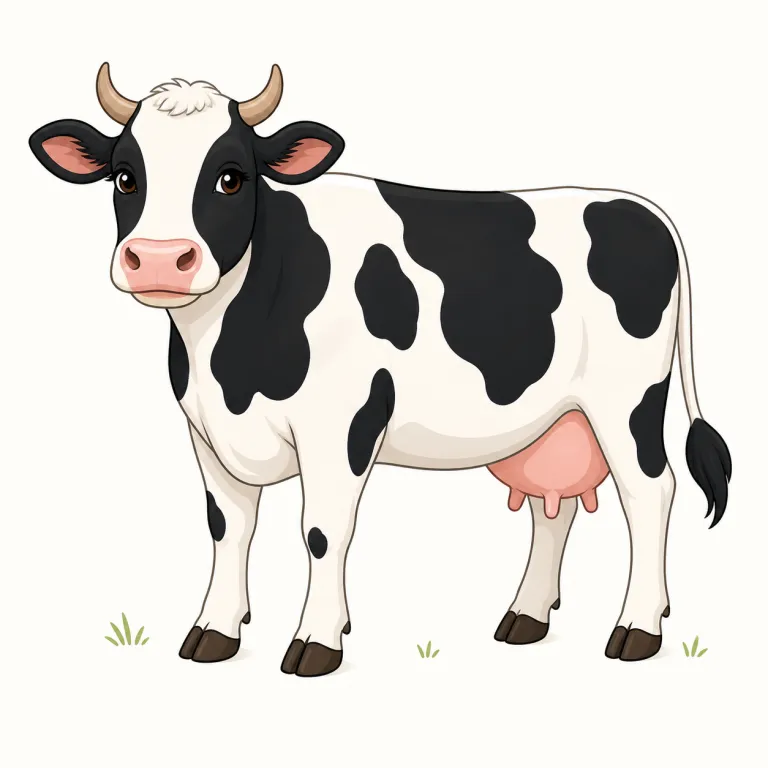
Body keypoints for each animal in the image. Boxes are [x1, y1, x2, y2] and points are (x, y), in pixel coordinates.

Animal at [29, 63, 732, 676]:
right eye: (124, 177)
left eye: (231, 177)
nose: (157, 258)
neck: (228, 361)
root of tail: (638, 207)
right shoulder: (206, 430)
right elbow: (227, 529)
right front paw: (213, 632)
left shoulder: (341, 425)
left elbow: (321, 532)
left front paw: (316, 641)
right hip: (559, 418)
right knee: (551, 508)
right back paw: (526, 617)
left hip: (627, 401)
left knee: (650, 494)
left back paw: (637, 629)